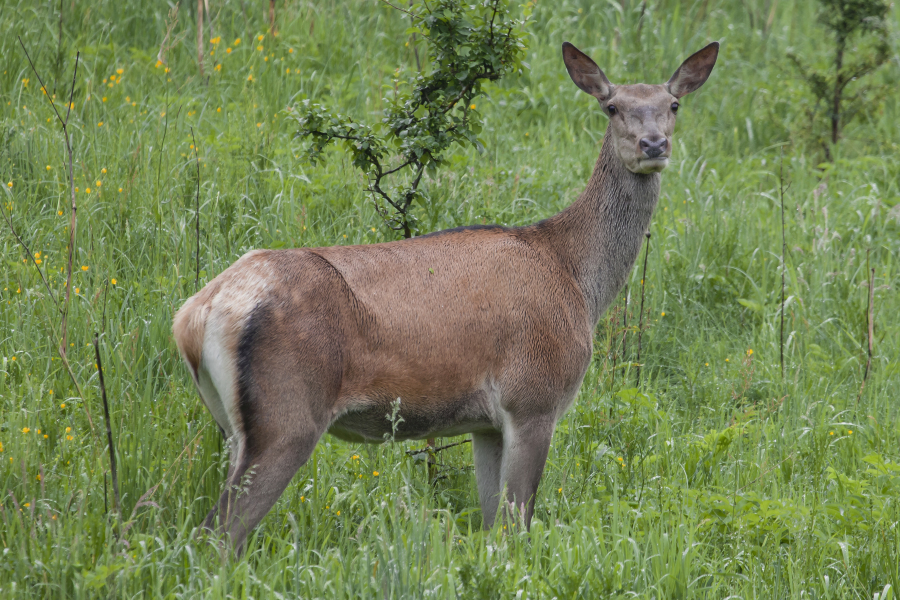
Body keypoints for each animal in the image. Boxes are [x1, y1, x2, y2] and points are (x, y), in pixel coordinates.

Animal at [172, 39, 720, 552]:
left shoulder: (486, 424)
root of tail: (195, 316)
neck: (577, 279)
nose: (653, 144)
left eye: (673, 104)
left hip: (228, 422)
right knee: (216, 535)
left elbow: (493, 524)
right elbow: (517, 526)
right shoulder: (534, 397)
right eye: (611, 106)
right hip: (287, 414)